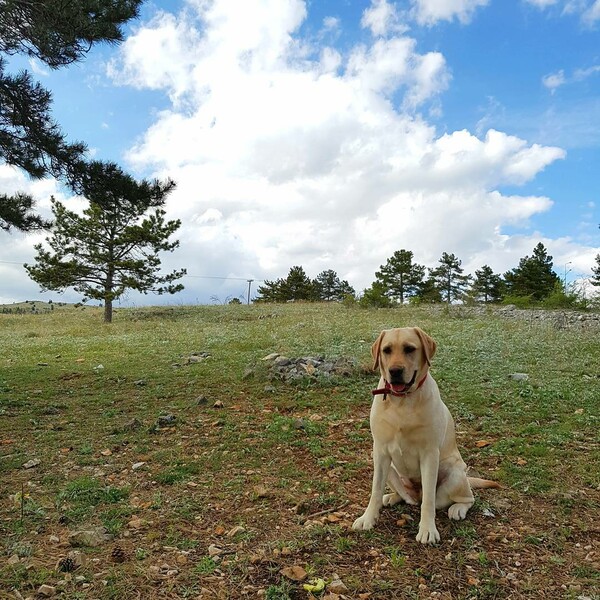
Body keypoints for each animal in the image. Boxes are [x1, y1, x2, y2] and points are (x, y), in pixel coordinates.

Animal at [354, 328, 500, 544]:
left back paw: (457, 509)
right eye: (386, 350)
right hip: (390, 468)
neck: (402, 401)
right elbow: (375, 490)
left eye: (409, 349)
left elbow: (429, 500)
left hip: (455, 473)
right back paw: (393, 496)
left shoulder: (429, 454)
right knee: (410, 498)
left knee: (463, 498)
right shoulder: (380, 451)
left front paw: (427, 529)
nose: (395, 371)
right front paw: (368, 518)